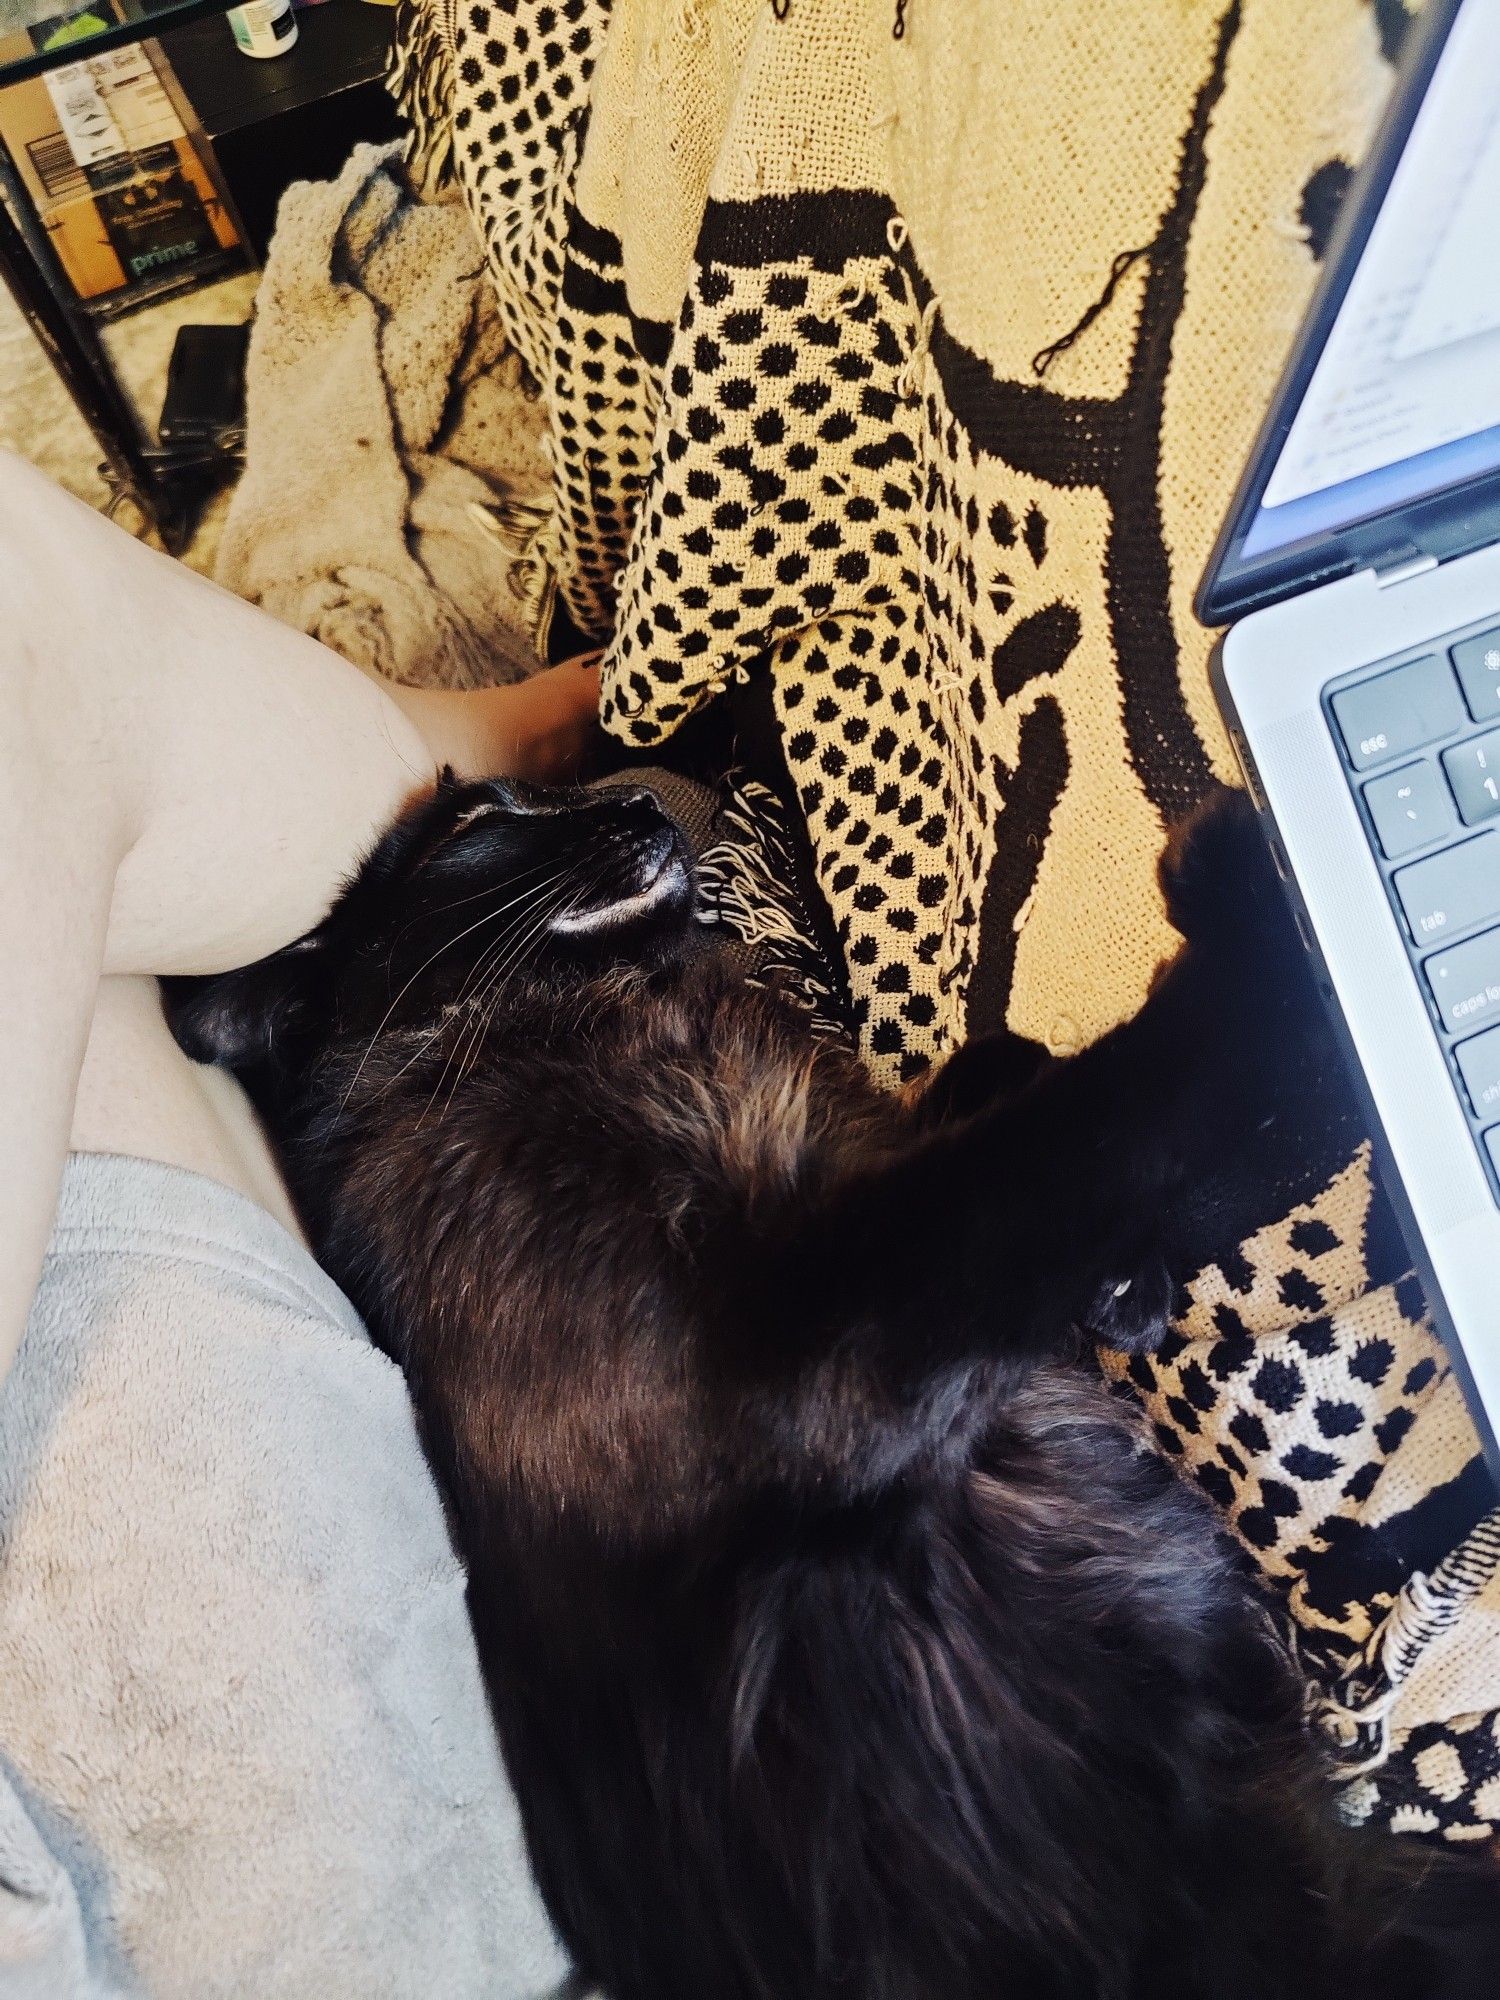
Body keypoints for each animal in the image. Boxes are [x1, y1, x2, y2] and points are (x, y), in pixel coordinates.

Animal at [167, 780, 1500, 2000]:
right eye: (483, 819)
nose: (635, 794)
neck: (586, 1019)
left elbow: (1001, 1093)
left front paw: (1126, 1278)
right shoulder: (804, 1338)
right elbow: (1088, 1129)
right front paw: (1261, 907)